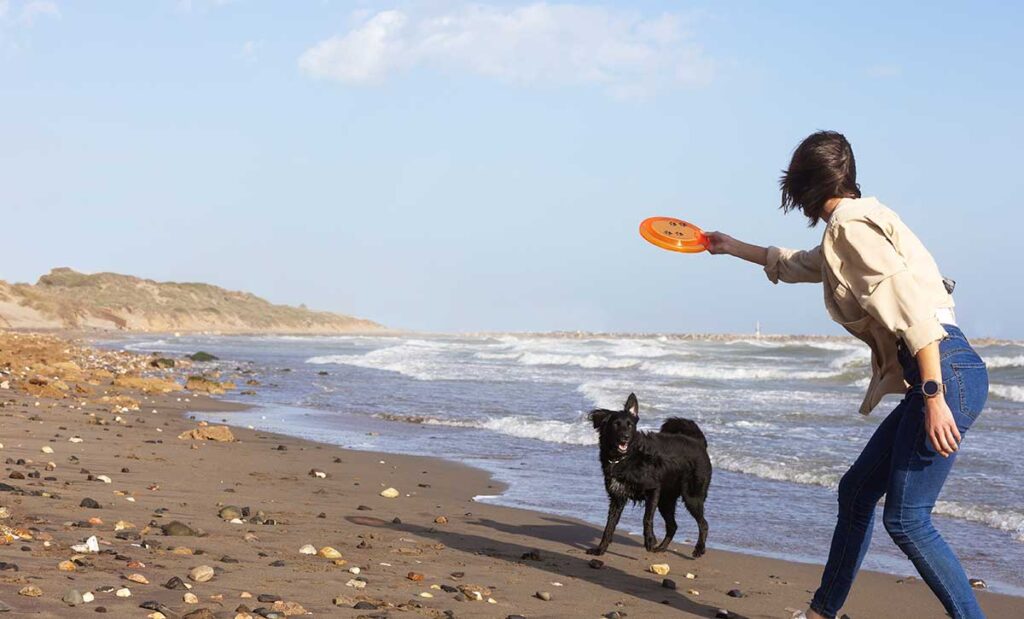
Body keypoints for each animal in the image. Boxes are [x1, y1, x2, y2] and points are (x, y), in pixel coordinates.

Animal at [589, 393, 708, 557]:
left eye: (630, 425)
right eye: (616, 424)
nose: (626, 437)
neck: (625, 457)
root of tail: (698, 442)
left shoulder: (653, 490)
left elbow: (646, 518)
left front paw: (650, 541)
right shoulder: (617, 498)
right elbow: (609, 526)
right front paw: (600, 549)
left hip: (691, 496)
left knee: (703, 523)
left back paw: (699, 549)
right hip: (666, 500)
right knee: (673, 526)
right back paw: (661, 548)